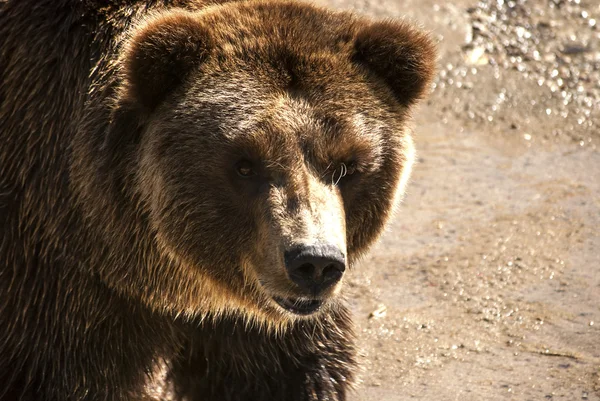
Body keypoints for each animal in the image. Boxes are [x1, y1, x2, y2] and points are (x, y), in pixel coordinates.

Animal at [0, 0, 434, 400]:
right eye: (244, 165)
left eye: (347, 165)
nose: (314, 262)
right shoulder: (60, 286)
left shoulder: (253, 320)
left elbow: (290, 371)